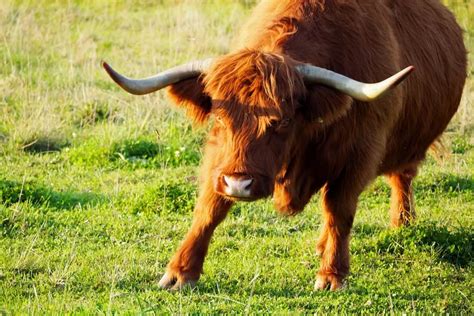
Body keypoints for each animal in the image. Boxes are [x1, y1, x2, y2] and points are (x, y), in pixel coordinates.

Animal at [103, 0, 466, 292]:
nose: (239, 184)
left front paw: (332, 275)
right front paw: (180, 272)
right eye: (219, 117)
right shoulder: (220, 159)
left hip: (410, 145)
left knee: (401, 178)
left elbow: (338, 211)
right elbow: (209, 207)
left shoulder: (359, 154)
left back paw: (401, 224)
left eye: (281, 122)